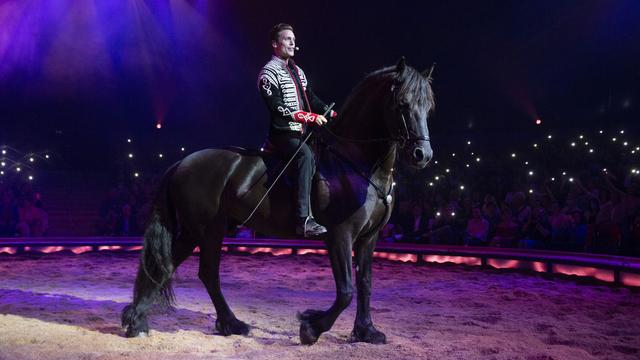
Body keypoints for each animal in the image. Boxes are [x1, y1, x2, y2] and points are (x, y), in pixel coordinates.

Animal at [122, 57, 432, 344]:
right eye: (402, 104)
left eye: (428, 107)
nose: (423, 155)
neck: (356, 164)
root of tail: (181, 163)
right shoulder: (340, 235)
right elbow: (345, 291)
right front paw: (311, 327)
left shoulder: (369, 238)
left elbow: (365, 284)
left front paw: (366, 331)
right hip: (207, 230)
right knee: (206, 272)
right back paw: (222, 323)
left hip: (195, 231)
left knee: (168, 266)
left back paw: (141, 320)